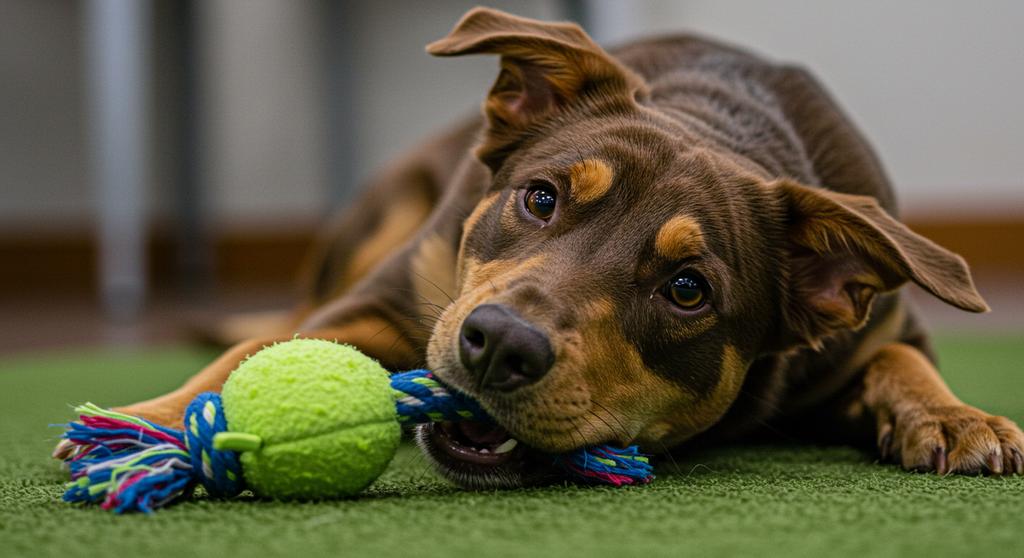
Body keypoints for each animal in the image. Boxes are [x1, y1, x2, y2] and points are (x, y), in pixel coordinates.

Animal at [64, 8, 1024, 487]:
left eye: (688, 289)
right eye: (541, 197)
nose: (498, 345)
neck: (718, 116)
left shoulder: (883, 327)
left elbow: (900, 360)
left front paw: (954, 416)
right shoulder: (379, 297)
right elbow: (257, 352)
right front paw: (150, 423)